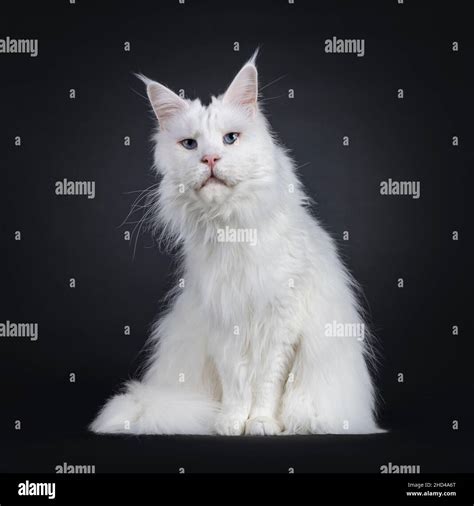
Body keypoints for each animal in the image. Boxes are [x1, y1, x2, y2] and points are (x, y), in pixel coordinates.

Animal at [90, 54, 384, 434]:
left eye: (230, 139)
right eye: (190, 145)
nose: (210, 159)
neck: (232, 232)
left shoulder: (280, 326)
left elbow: (266, 386)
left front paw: (260, 423)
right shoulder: (223, 326)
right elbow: (236, 384)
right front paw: (230, 422)